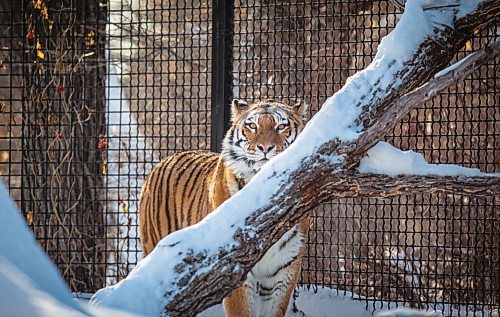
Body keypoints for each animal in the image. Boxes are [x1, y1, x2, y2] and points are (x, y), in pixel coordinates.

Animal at [138, 99, 308, 316]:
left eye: (281, 126)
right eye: (252, 126)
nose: (265, 148)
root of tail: (166, 159)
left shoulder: (284, 271)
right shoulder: (236, 269)